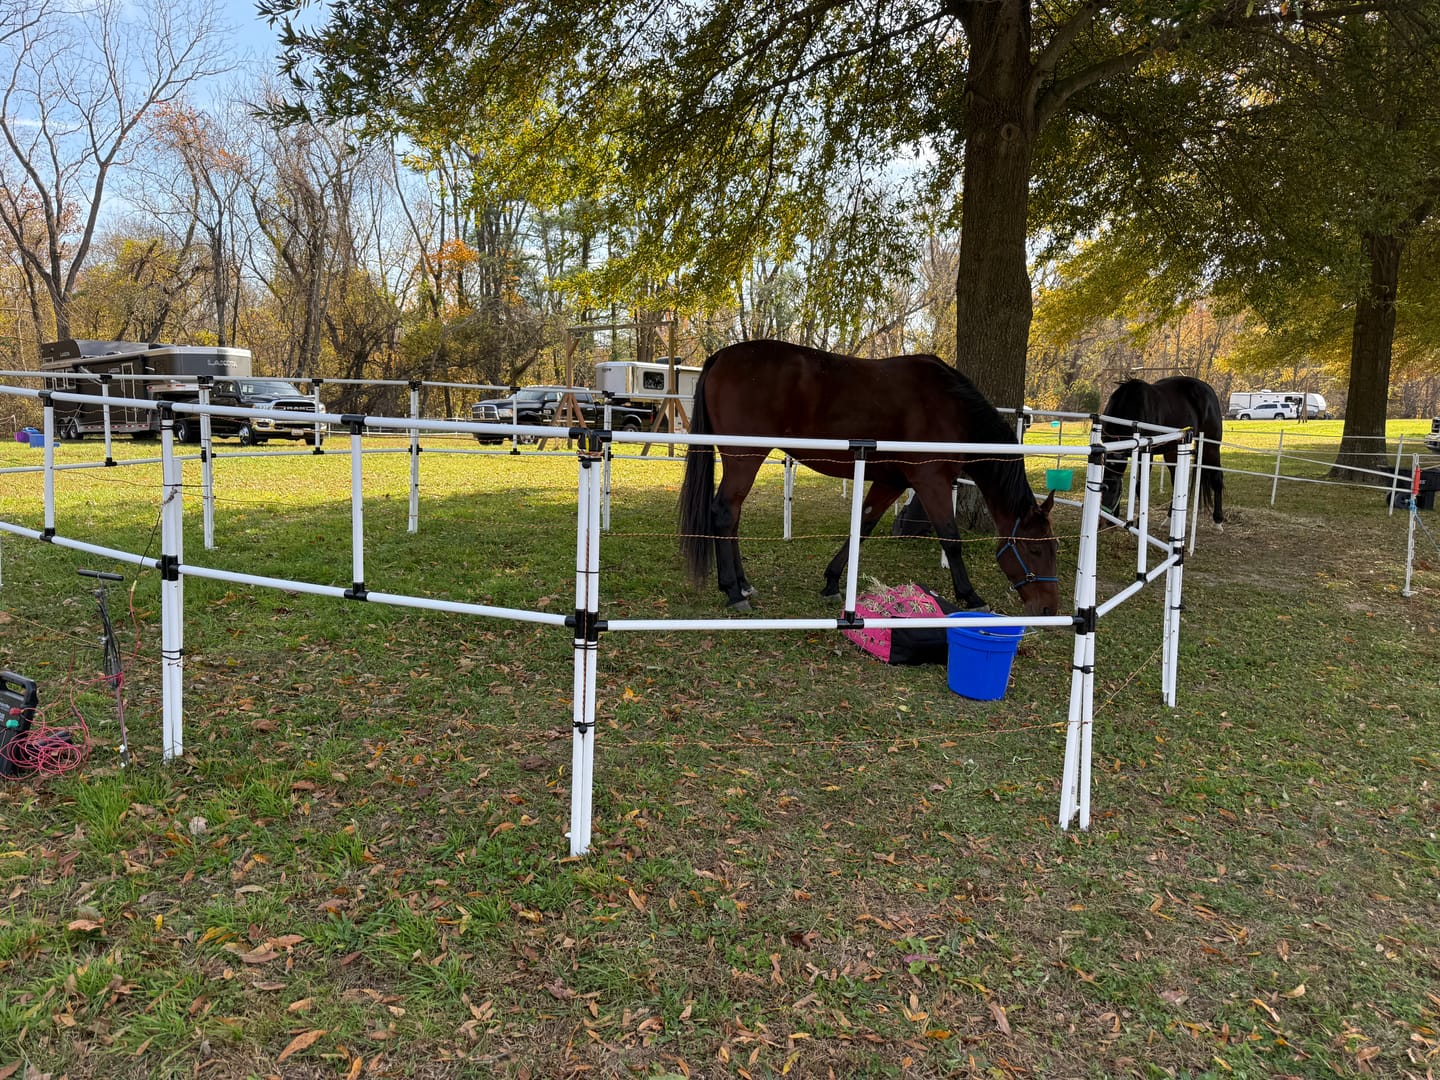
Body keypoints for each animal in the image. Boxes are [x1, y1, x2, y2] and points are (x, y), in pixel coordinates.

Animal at [678, 340, 1060, 616]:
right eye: (1033, 548)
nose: (1047, 608)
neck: (953, 409)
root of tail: (720, 357)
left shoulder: (892, 482)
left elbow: (862, 527)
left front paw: (832, 582)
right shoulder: (931, 482)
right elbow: (951, 540)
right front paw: (971, 596)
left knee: (733, 516)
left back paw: (743, 585)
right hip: (745, 457)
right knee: (725, 512)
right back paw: (733, 591)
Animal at [1099, 377, 1225, 527]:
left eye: (1113, 489)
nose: (1101, 522)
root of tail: (1209, 390)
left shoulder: (1146, 454)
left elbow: (1140, 487)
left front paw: (1139, 523)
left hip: (1211, 446)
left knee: (1217, 478)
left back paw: (1218, 520)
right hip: (1172, 452)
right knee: (1176, 481)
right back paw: (1170, 518)